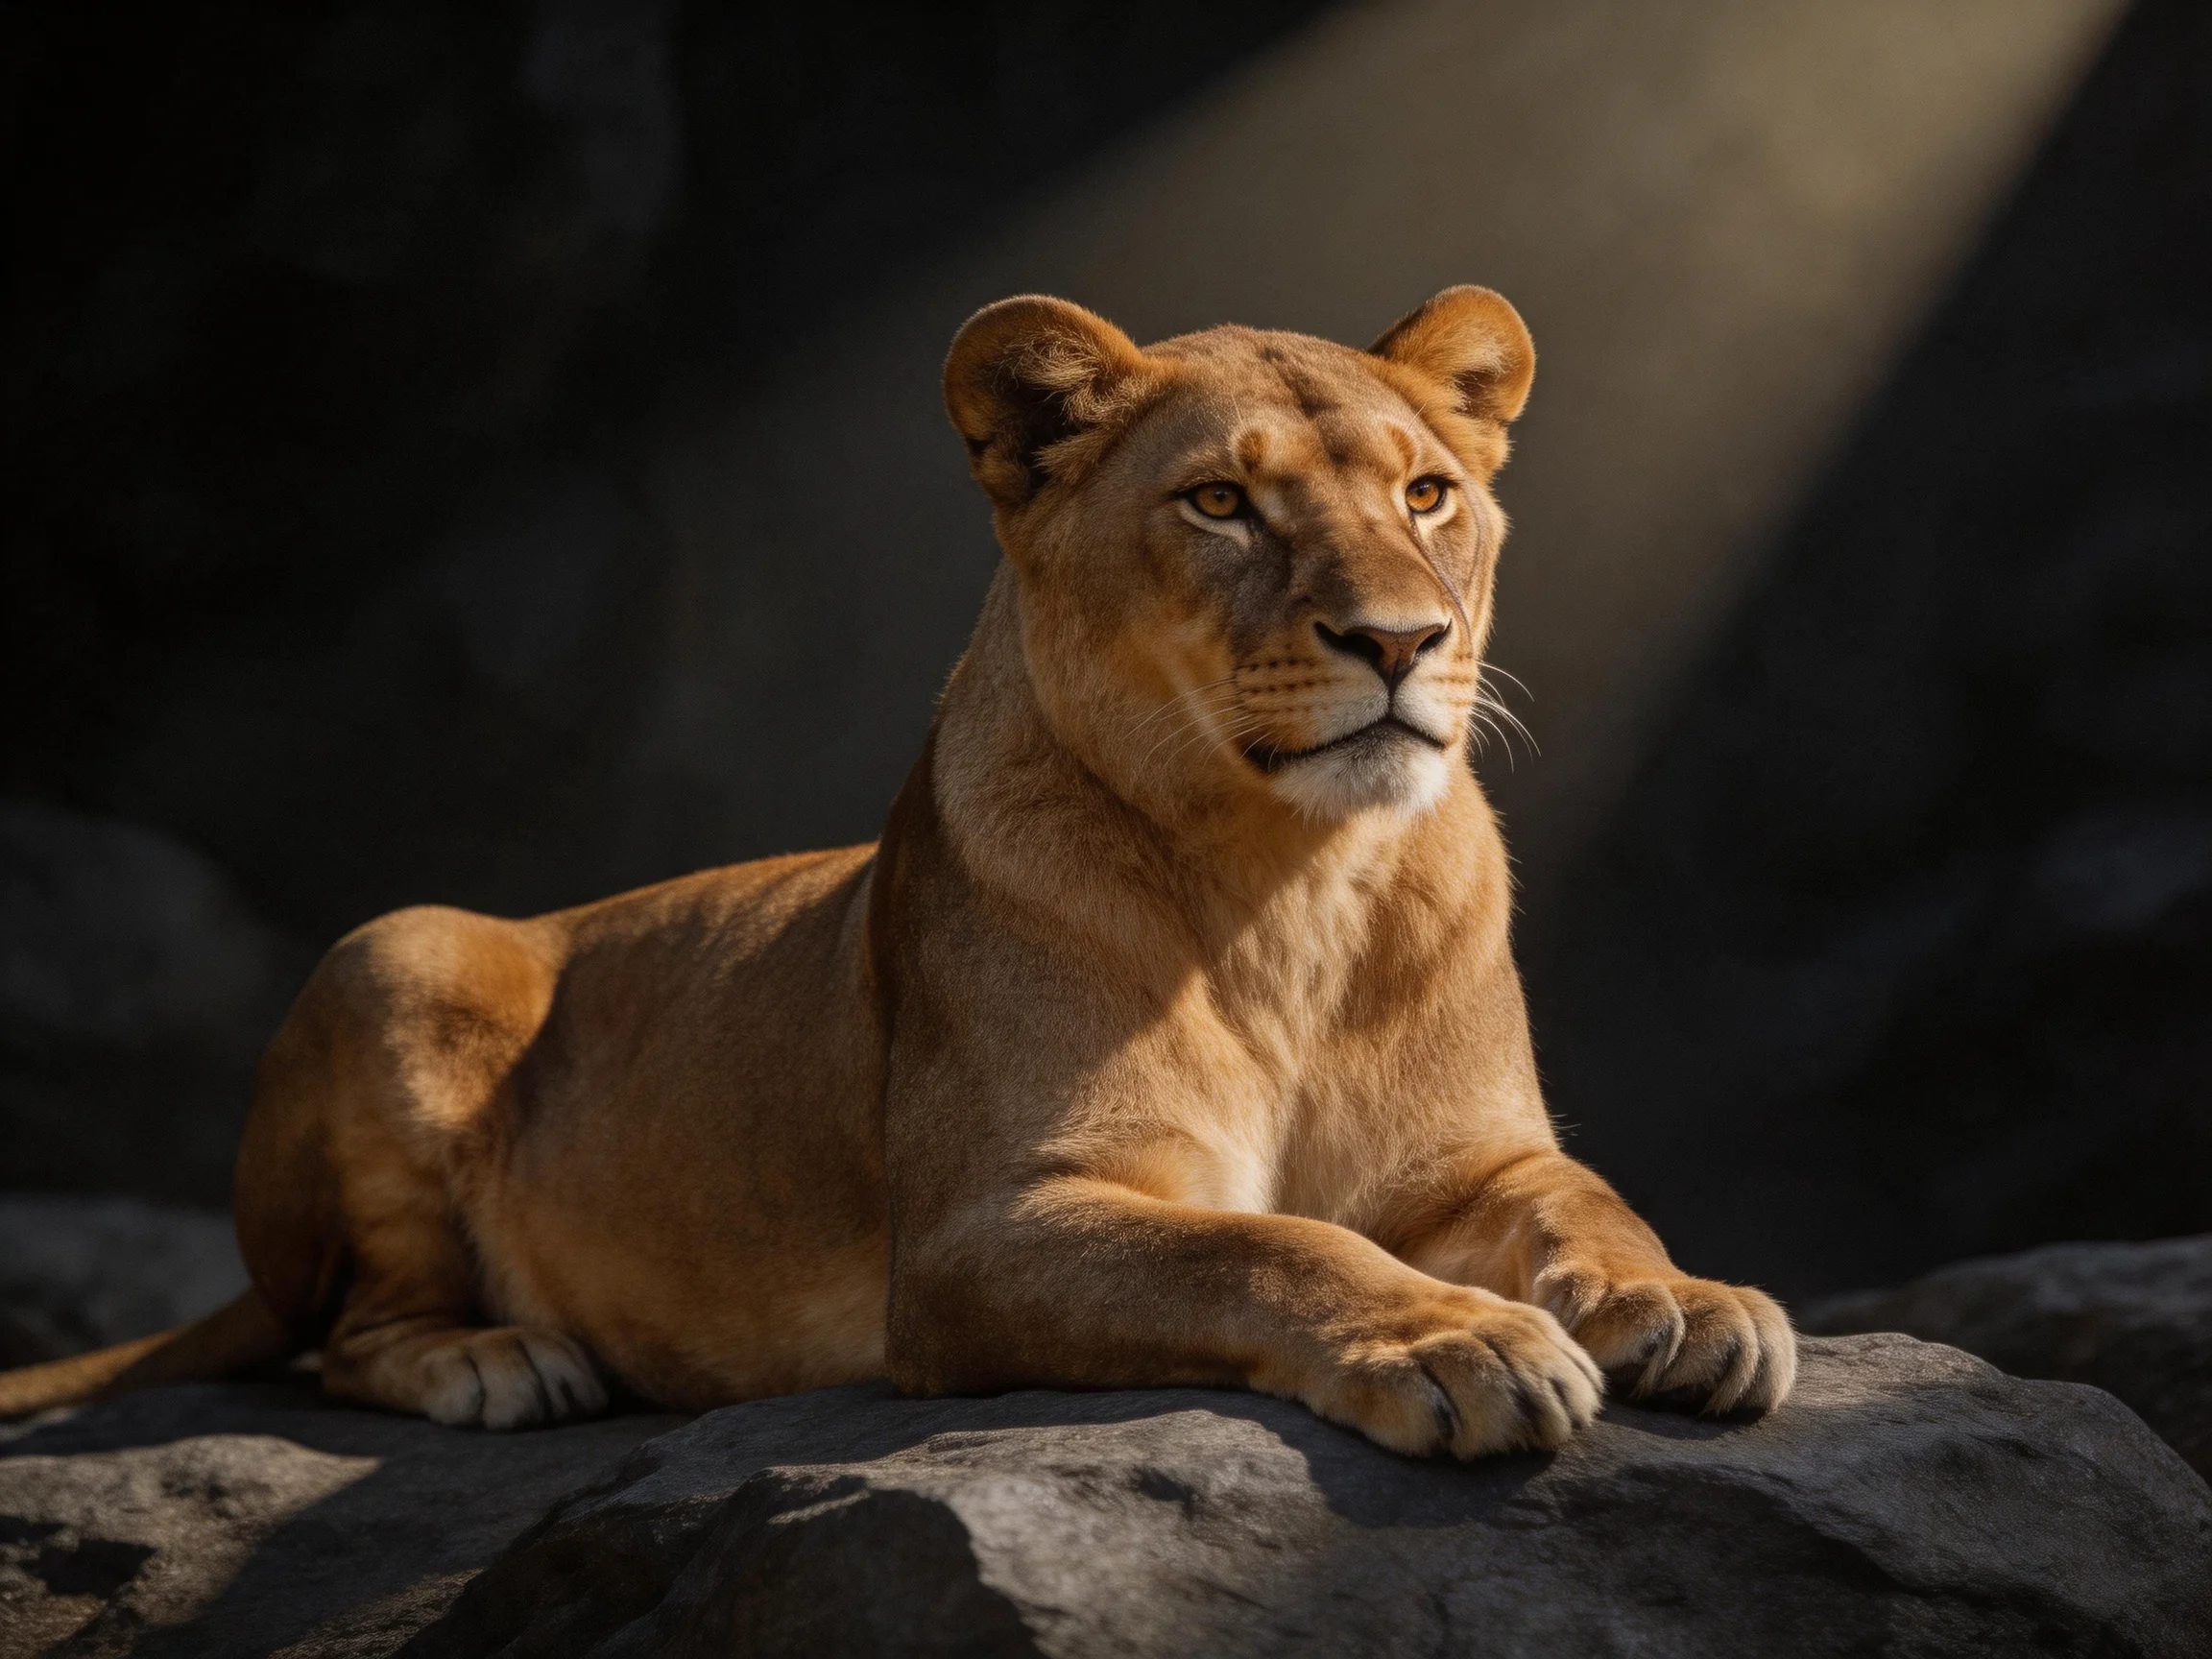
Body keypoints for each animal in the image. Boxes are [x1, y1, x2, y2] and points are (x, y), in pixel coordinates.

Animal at [0, 287, 1794, 1455]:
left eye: (1429, 493)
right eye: (1220, 501)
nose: (1402, 641)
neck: (1292, 880)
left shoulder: (1476, 1160)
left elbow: (1589, 1200)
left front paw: (1689, 1301)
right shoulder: (978, 1236)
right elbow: (1266, 1246)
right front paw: (1459, 1337)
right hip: (401, 944)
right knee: (339, 1337)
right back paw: (500, 1361)